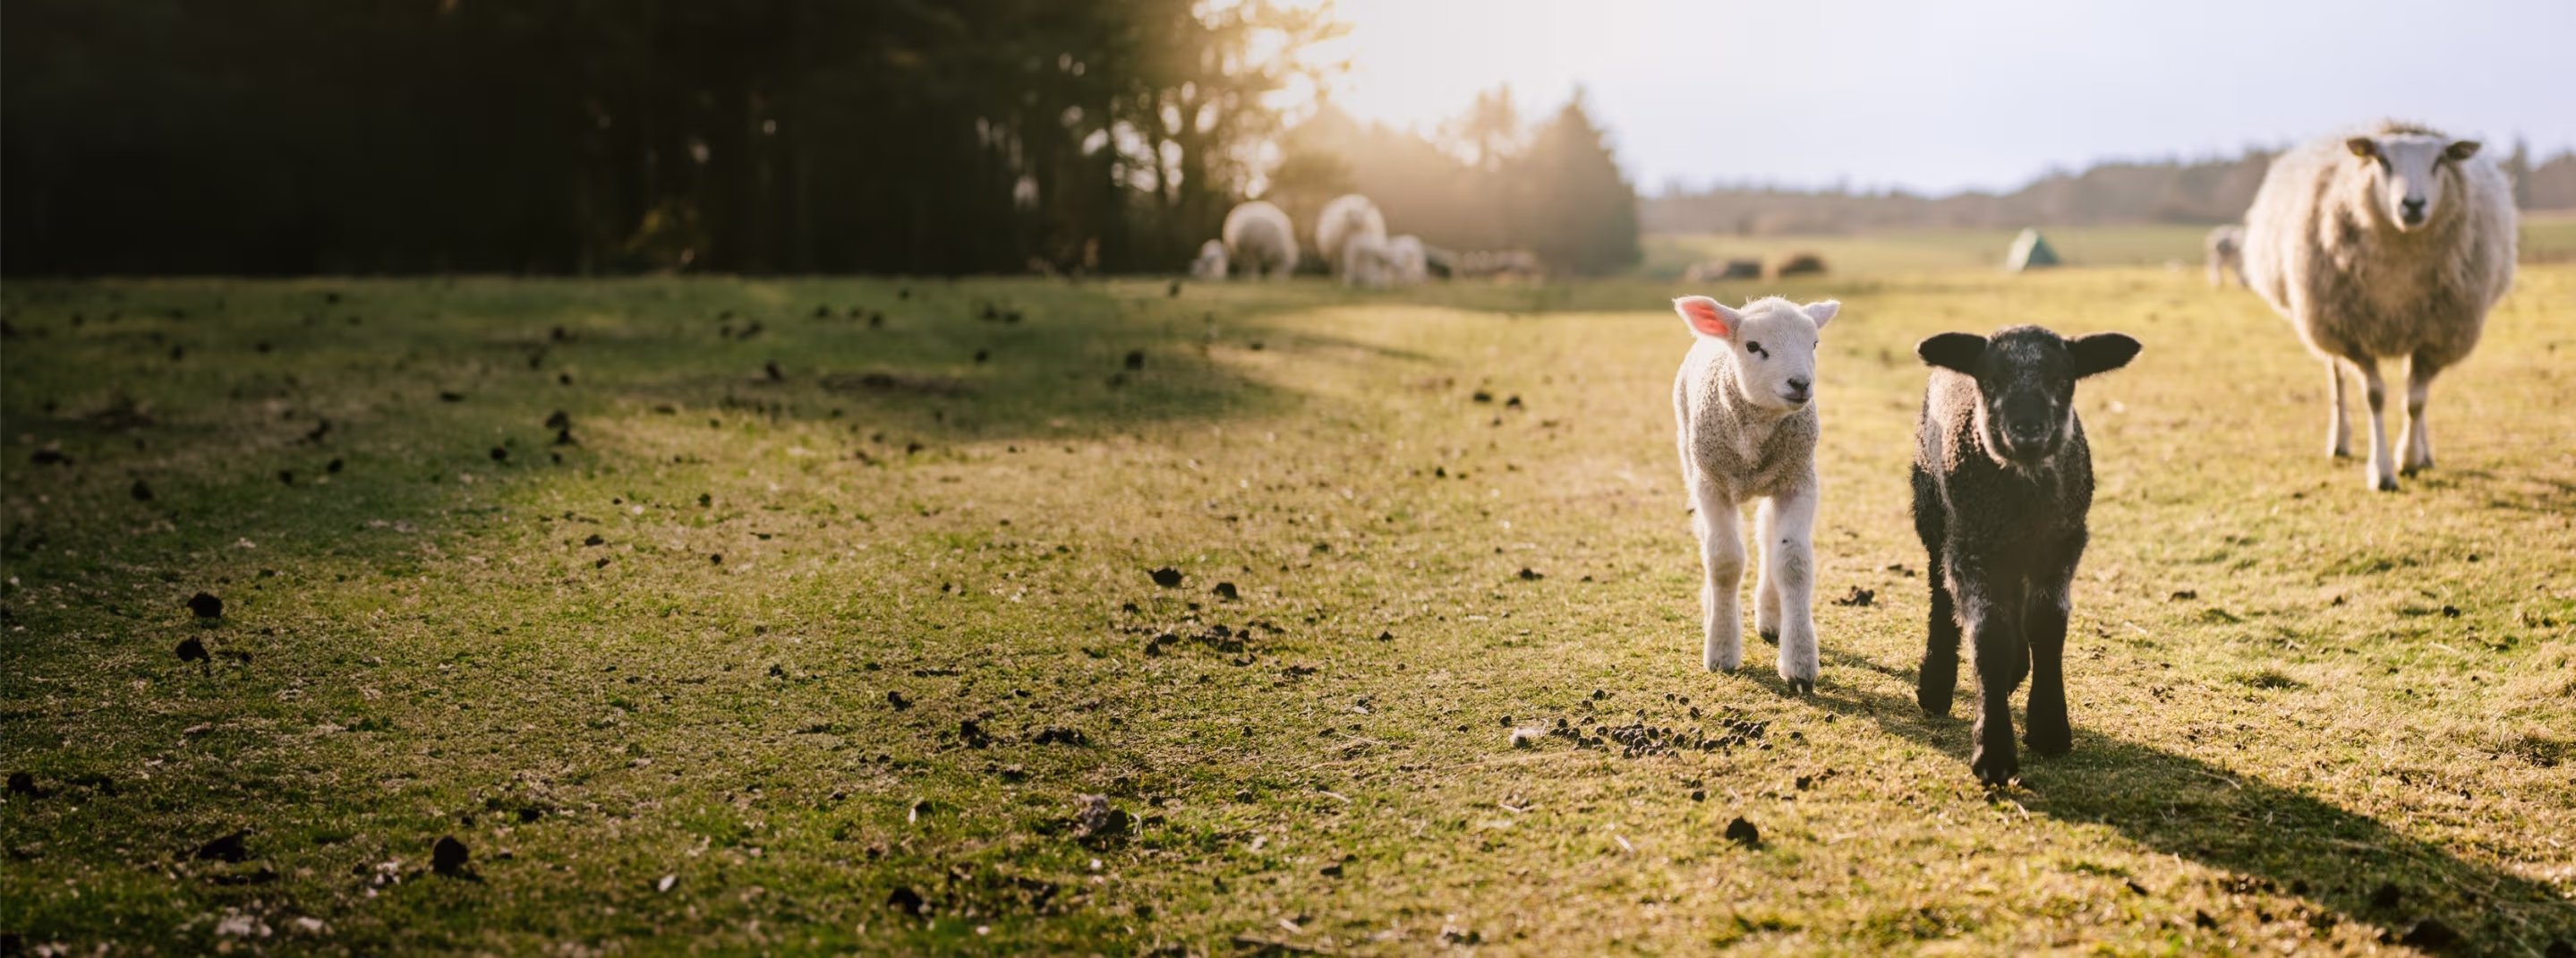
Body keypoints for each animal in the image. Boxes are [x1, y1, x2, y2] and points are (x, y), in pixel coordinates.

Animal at [1671, 295, 1840, 693]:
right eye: (1753, 346)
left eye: (1814, 344)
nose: (1800, 383)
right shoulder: (1712, 484)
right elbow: (1724, 562)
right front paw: (1721, 650)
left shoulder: (1799, 481)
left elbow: (1793, 562)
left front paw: (1799, 664)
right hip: (1691, 459)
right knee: (1708, 538)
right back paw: (1713, 608)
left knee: (1767, 535)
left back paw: (1771, 615)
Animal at [1910, 325, 2140, 785]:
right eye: (1991, 381)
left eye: (2063, 380)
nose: (2028, 431)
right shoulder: (1972, 549)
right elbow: (1989, 635)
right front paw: (1994, 750)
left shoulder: (2063, 543)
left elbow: (2047, 623)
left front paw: (2049, 727)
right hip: (1934, 509)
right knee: (1940, 591)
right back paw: (1936, 684)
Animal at [2239, 121, 2516, 491]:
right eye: (2381, 161)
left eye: (2440, 161)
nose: (2412, 204)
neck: (2398, 274)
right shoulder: (2353, 335)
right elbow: (2375, 398)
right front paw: (2382, 472)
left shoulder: (2435, 337)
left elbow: (2416, 402)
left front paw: (2409, 459)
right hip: (2328, 321)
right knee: (2338, 377)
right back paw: (2339, 441)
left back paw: (2424, 453)